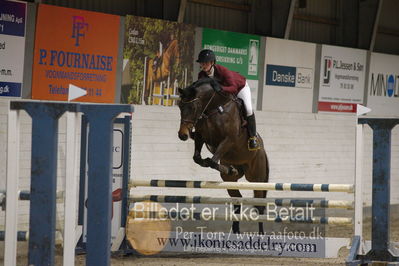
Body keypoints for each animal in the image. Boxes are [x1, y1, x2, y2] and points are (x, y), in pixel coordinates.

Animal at [177, 78, 268, 234]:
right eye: (180, 106)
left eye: (193, 107)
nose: (182, 135)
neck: (214, 109)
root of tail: (263, 151)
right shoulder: (201, 136)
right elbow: (198, 158)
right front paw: (228, 168)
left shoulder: (228, 140)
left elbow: (213, 161)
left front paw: (222, 166)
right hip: (230, 181)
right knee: (237, 200)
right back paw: (236, 231)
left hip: (256, 178)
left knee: (259, 205)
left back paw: (261, 234)